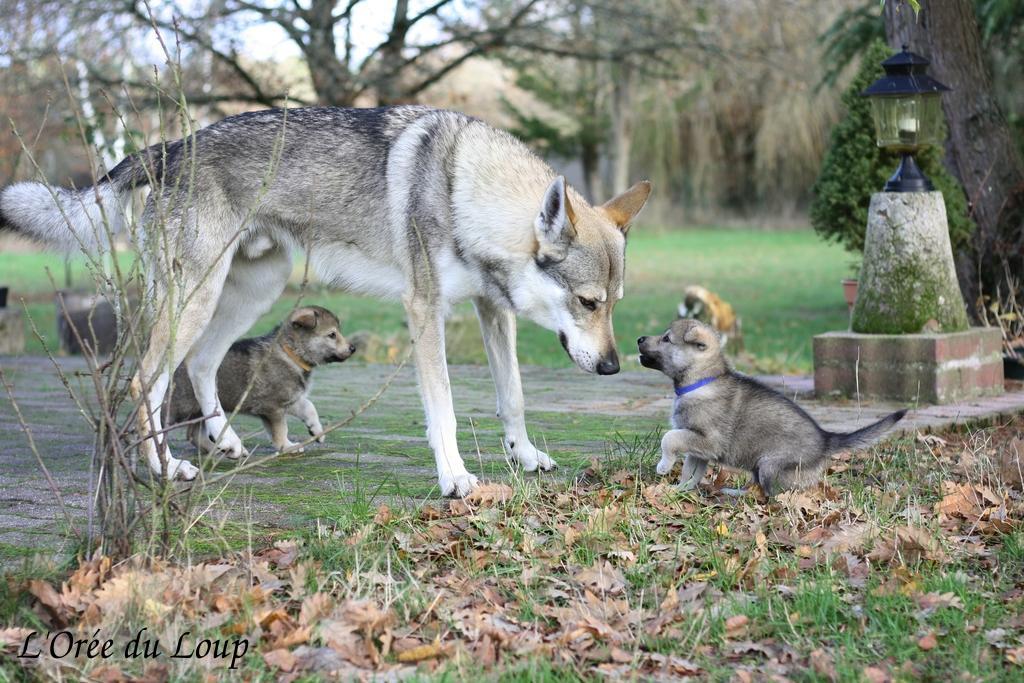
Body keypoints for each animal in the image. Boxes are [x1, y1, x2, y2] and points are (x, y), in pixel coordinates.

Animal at [168, 305, 356, 454]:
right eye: (332, 335)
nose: (353, 348)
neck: (291, 353)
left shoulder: (290, 399)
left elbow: (309, 407)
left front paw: (317, 431)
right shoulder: (273, 407)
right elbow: (281, 430)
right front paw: (287, 447)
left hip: (200, 409)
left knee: (194, 435)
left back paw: (221, 451)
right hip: (180, 406)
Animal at [634, 317, 909, 493]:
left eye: (666, 339)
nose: (639, 338)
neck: (701, 380)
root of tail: (826, 439)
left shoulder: (707, 439)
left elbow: (669, 438)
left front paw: (663, 466)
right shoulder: (699, 447)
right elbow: (691, 470)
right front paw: (680, 489)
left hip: (769, 465)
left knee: (777, 494)